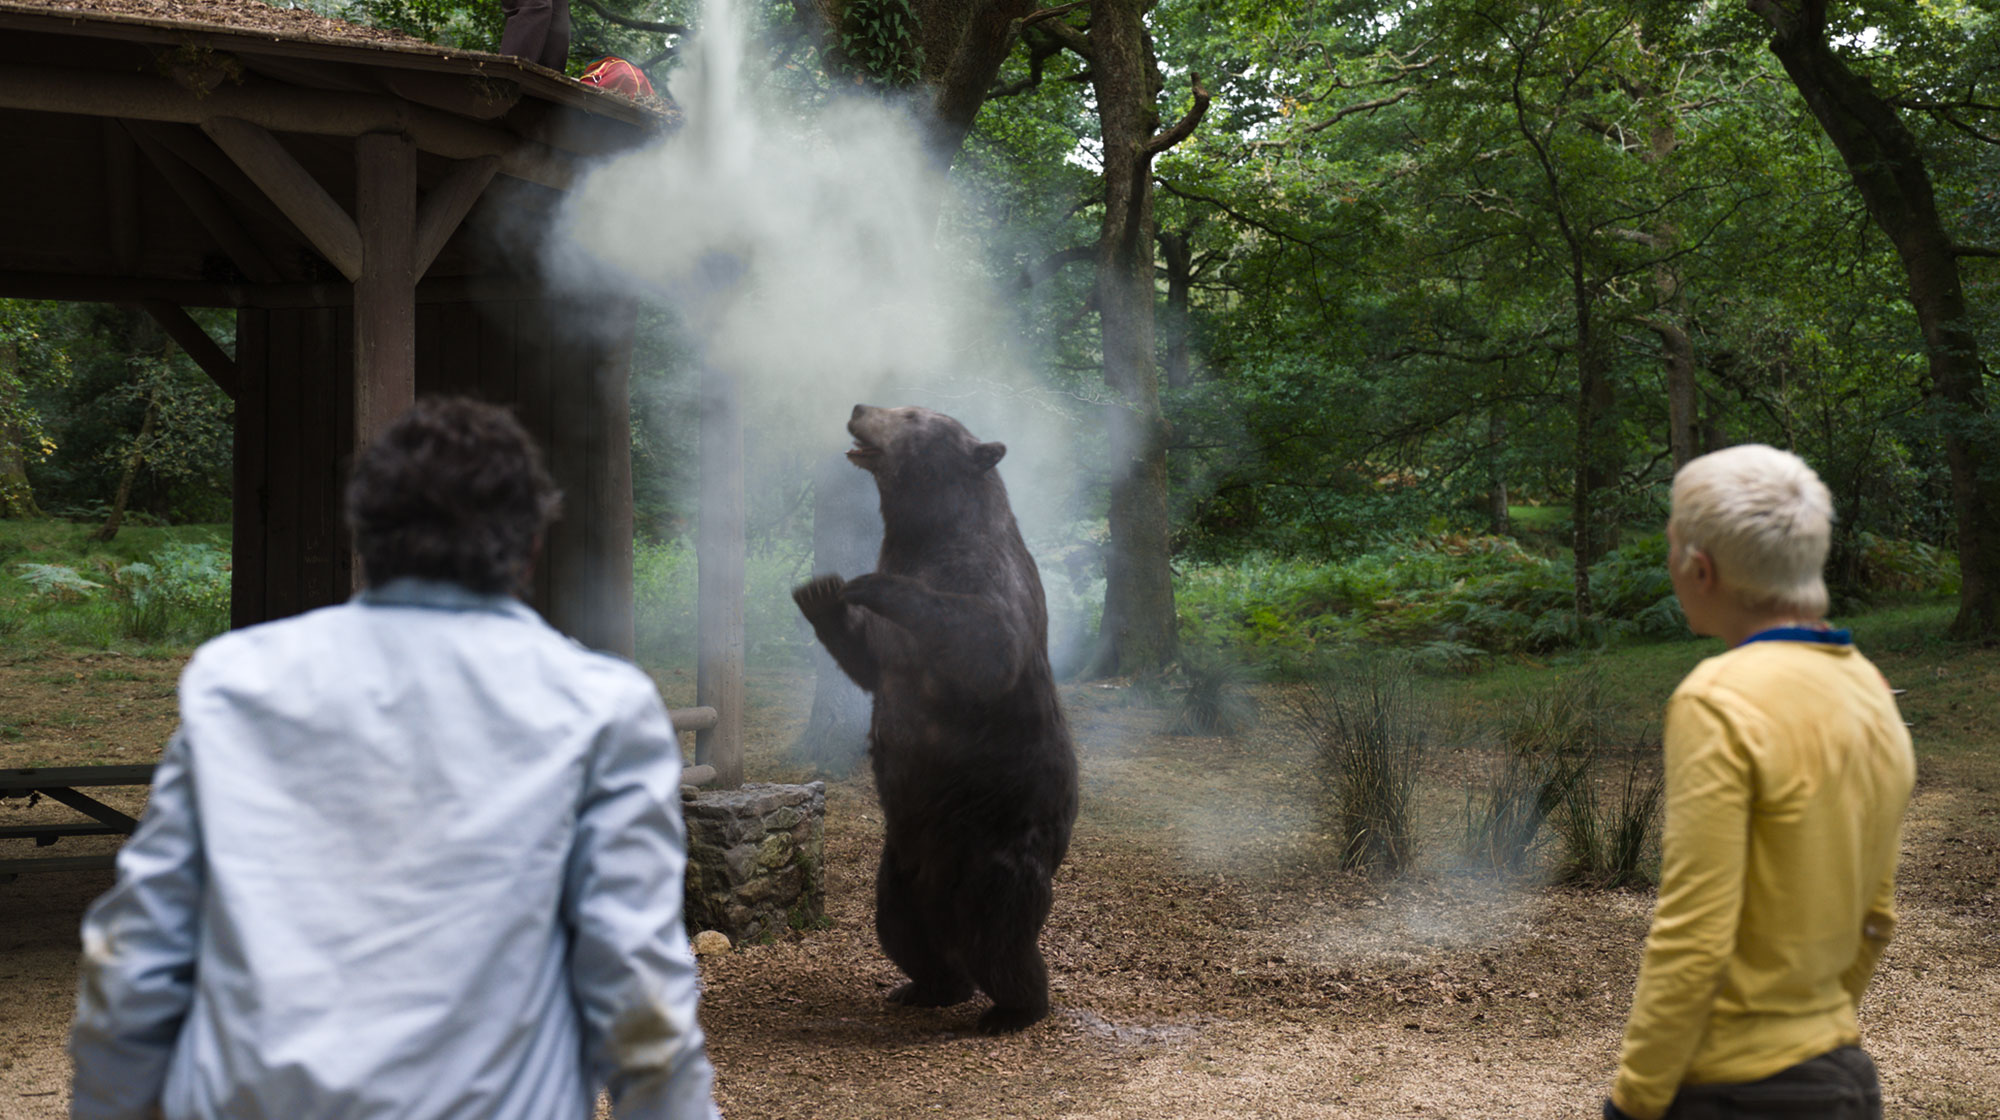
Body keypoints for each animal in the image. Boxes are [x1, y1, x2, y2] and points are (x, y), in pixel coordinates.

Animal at [792, 404, 1079, 1034]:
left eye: (912, 414)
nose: (858, 408)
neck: (926, 533)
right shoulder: (889, 647)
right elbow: (869, 663)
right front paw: (820, 591)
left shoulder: (988, 579)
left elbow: (986, 642)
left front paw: (865, 583)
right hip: (898, 864)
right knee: (902, 929)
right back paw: (924, 987)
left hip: (995, 848)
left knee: (1001, 936)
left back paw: (1013, 1009)